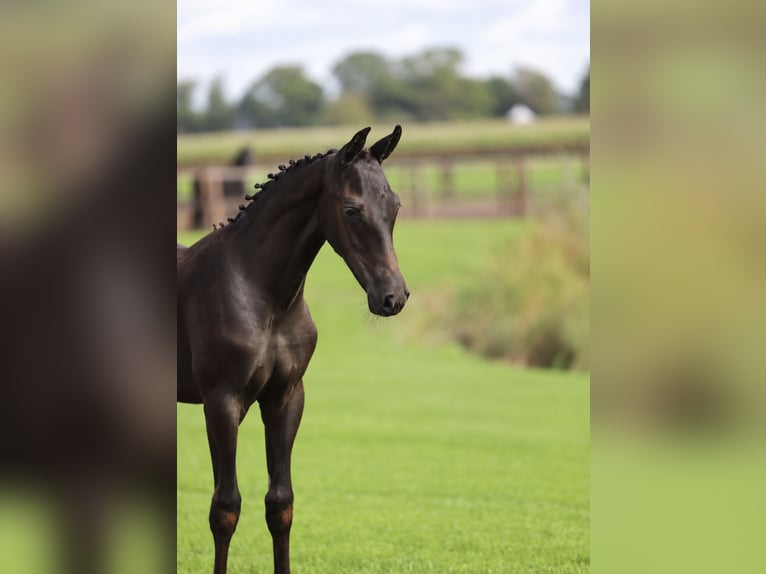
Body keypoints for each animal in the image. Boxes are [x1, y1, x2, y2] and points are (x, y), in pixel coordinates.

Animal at [177, 126, 409, 574]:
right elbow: (224, 507)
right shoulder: (221, 402)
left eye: (395, 205)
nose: (393, 297)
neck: (263, 295)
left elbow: (280, 503)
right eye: (352, 210)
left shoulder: (286, 398)